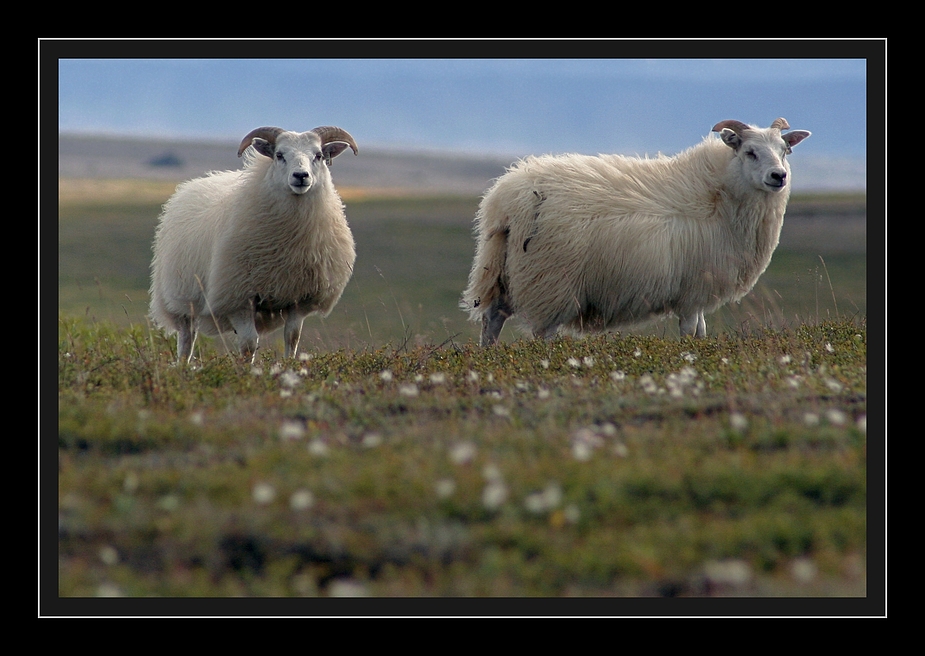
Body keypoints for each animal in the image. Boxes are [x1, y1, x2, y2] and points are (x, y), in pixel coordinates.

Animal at [148, 125, 358, 362]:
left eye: (319, 155)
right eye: (279, 155)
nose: (301, 176)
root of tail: (192, 184)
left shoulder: (298, 298)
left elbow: (292, 337)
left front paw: (289, 365)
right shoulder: (238, 297)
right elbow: (249, 344)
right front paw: (246, 369)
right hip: (182, 302)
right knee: (186, 340)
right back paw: (183, 364)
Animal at [462, 118, 808, 346]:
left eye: (784, 150)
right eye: (750, 151)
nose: (779, 176)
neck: (719, 193)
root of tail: (507, 199)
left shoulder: (695, 289)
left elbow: (701, 332)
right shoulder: (693, 290)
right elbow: (690, 332)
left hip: (503, 271)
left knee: (492, 318)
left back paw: (488, 355)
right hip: (549, 280)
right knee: (542, 332)